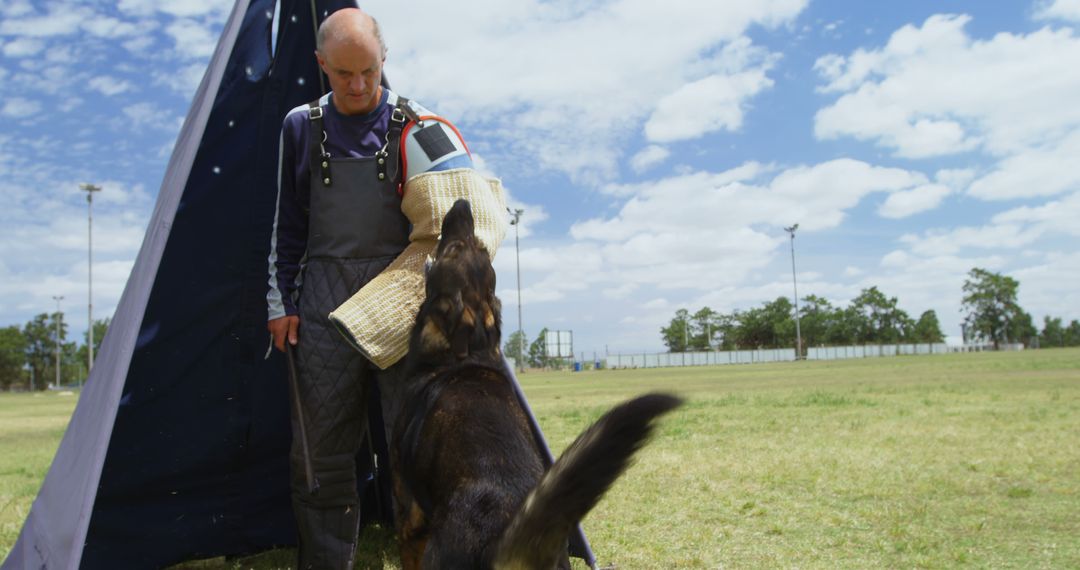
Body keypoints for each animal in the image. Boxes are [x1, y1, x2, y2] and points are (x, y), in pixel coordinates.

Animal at [390, 200, 682, 570]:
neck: (470, 349)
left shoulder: (408, 512)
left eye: (453, 249)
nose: (462, 204)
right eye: (476, 247)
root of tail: (503, 539)